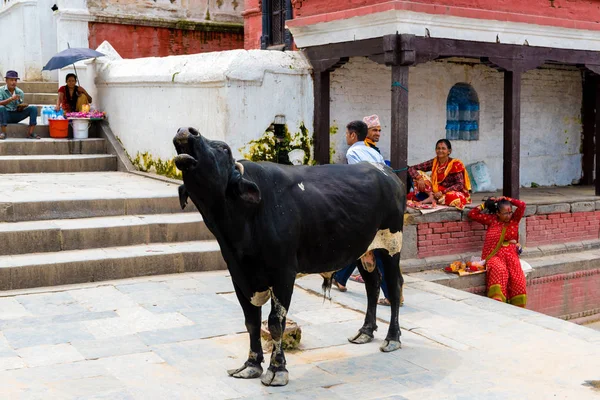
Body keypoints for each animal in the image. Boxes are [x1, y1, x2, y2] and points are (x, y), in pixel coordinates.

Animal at [173, 126, 408, 386]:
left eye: (224, 149)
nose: (186, 131)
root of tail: (387, 172)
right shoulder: (239, 276)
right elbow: (251, 322)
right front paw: (251, 365)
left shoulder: (283, 274)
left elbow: (276, 322)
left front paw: (277, 370)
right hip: (363, 249)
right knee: (372, 284)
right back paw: (365, 332)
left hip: (391, 245)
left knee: (394, 286)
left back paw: (392, 338)